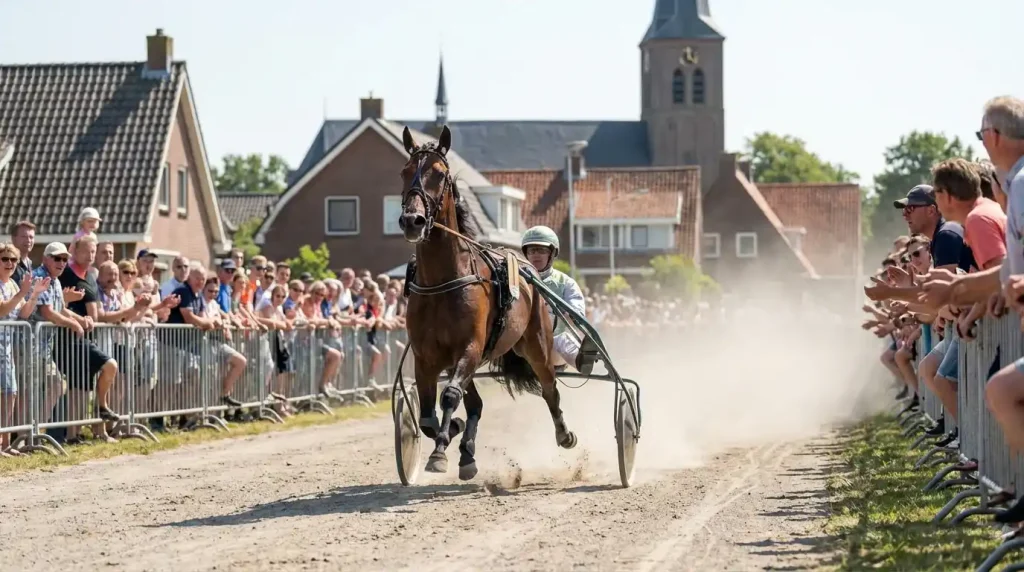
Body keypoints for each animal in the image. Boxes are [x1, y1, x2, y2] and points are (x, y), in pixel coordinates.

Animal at [397, 125, 578, 480]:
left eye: (439, 174)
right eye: (404, 171)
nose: (412, 220)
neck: (442, 281)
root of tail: (530, 272)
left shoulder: (470, 346)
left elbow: (450, 396)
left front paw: (440, 452)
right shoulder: (426, 357)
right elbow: (426, 418)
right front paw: (450, 433)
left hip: (537, 344)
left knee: (550, 388)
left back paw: (564, 434)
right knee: (475, 404)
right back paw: (466, 453)